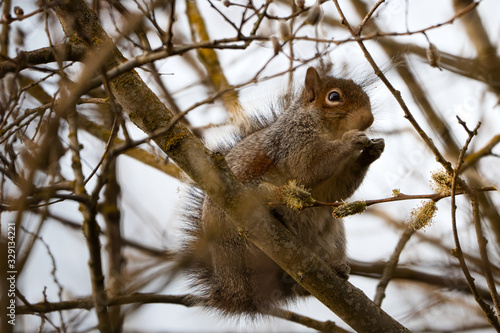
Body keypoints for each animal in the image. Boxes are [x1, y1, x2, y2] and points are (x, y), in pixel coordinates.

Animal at [182, 67, 384, 316]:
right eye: (334, 97)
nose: (369, 119)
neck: (330, 131)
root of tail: (235, 287)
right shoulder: (293, 143)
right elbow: (310, 167)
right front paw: (352, 140)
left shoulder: (330, 184)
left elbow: (337, 190)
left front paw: (372, 151)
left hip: (332, 234)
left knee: (298, 287)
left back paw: (334, 269)